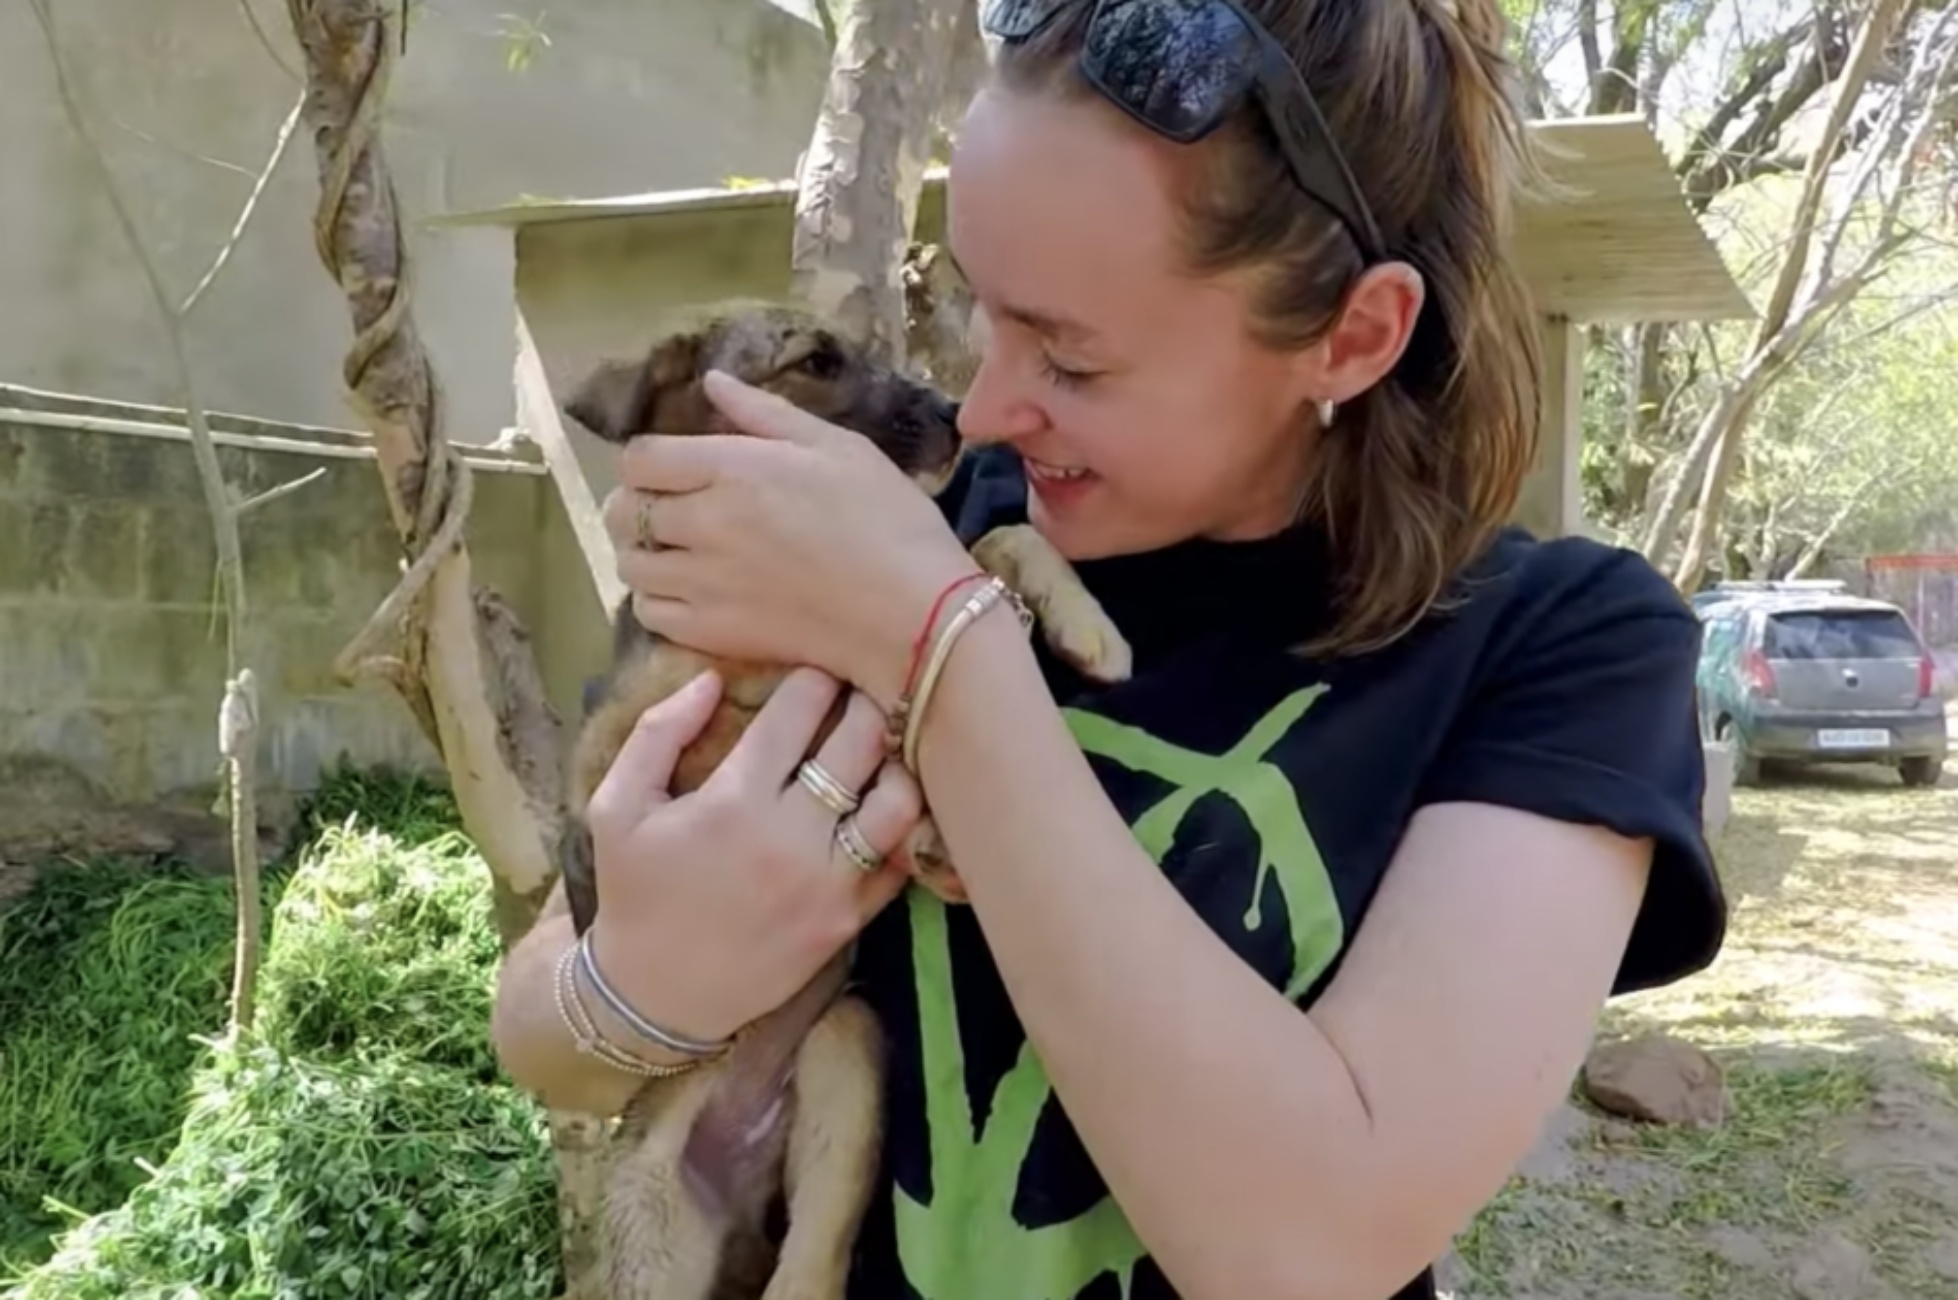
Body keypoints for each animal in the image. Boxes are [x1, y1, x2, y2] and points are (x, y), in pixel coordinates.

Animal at [552, 297, 1135, 1300]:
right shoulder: (638, 751)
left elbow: (986, 543)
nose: (955, 416)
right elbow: (810, 681)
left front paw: (1082, 621)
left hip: (847, 1052)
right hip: (651, 1233)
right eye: (817, 363)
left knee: (810, 1270)